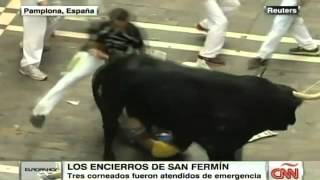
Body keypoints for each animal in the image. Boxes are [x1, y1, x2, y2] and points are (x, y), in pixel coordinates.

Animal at [92, 54, 302, 160]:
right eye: (291, 110)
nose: (293, 121)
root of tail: (114, 64)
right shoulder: (216, 145)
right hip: (112, 106)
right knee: (110, 129)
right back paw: (110, 156)